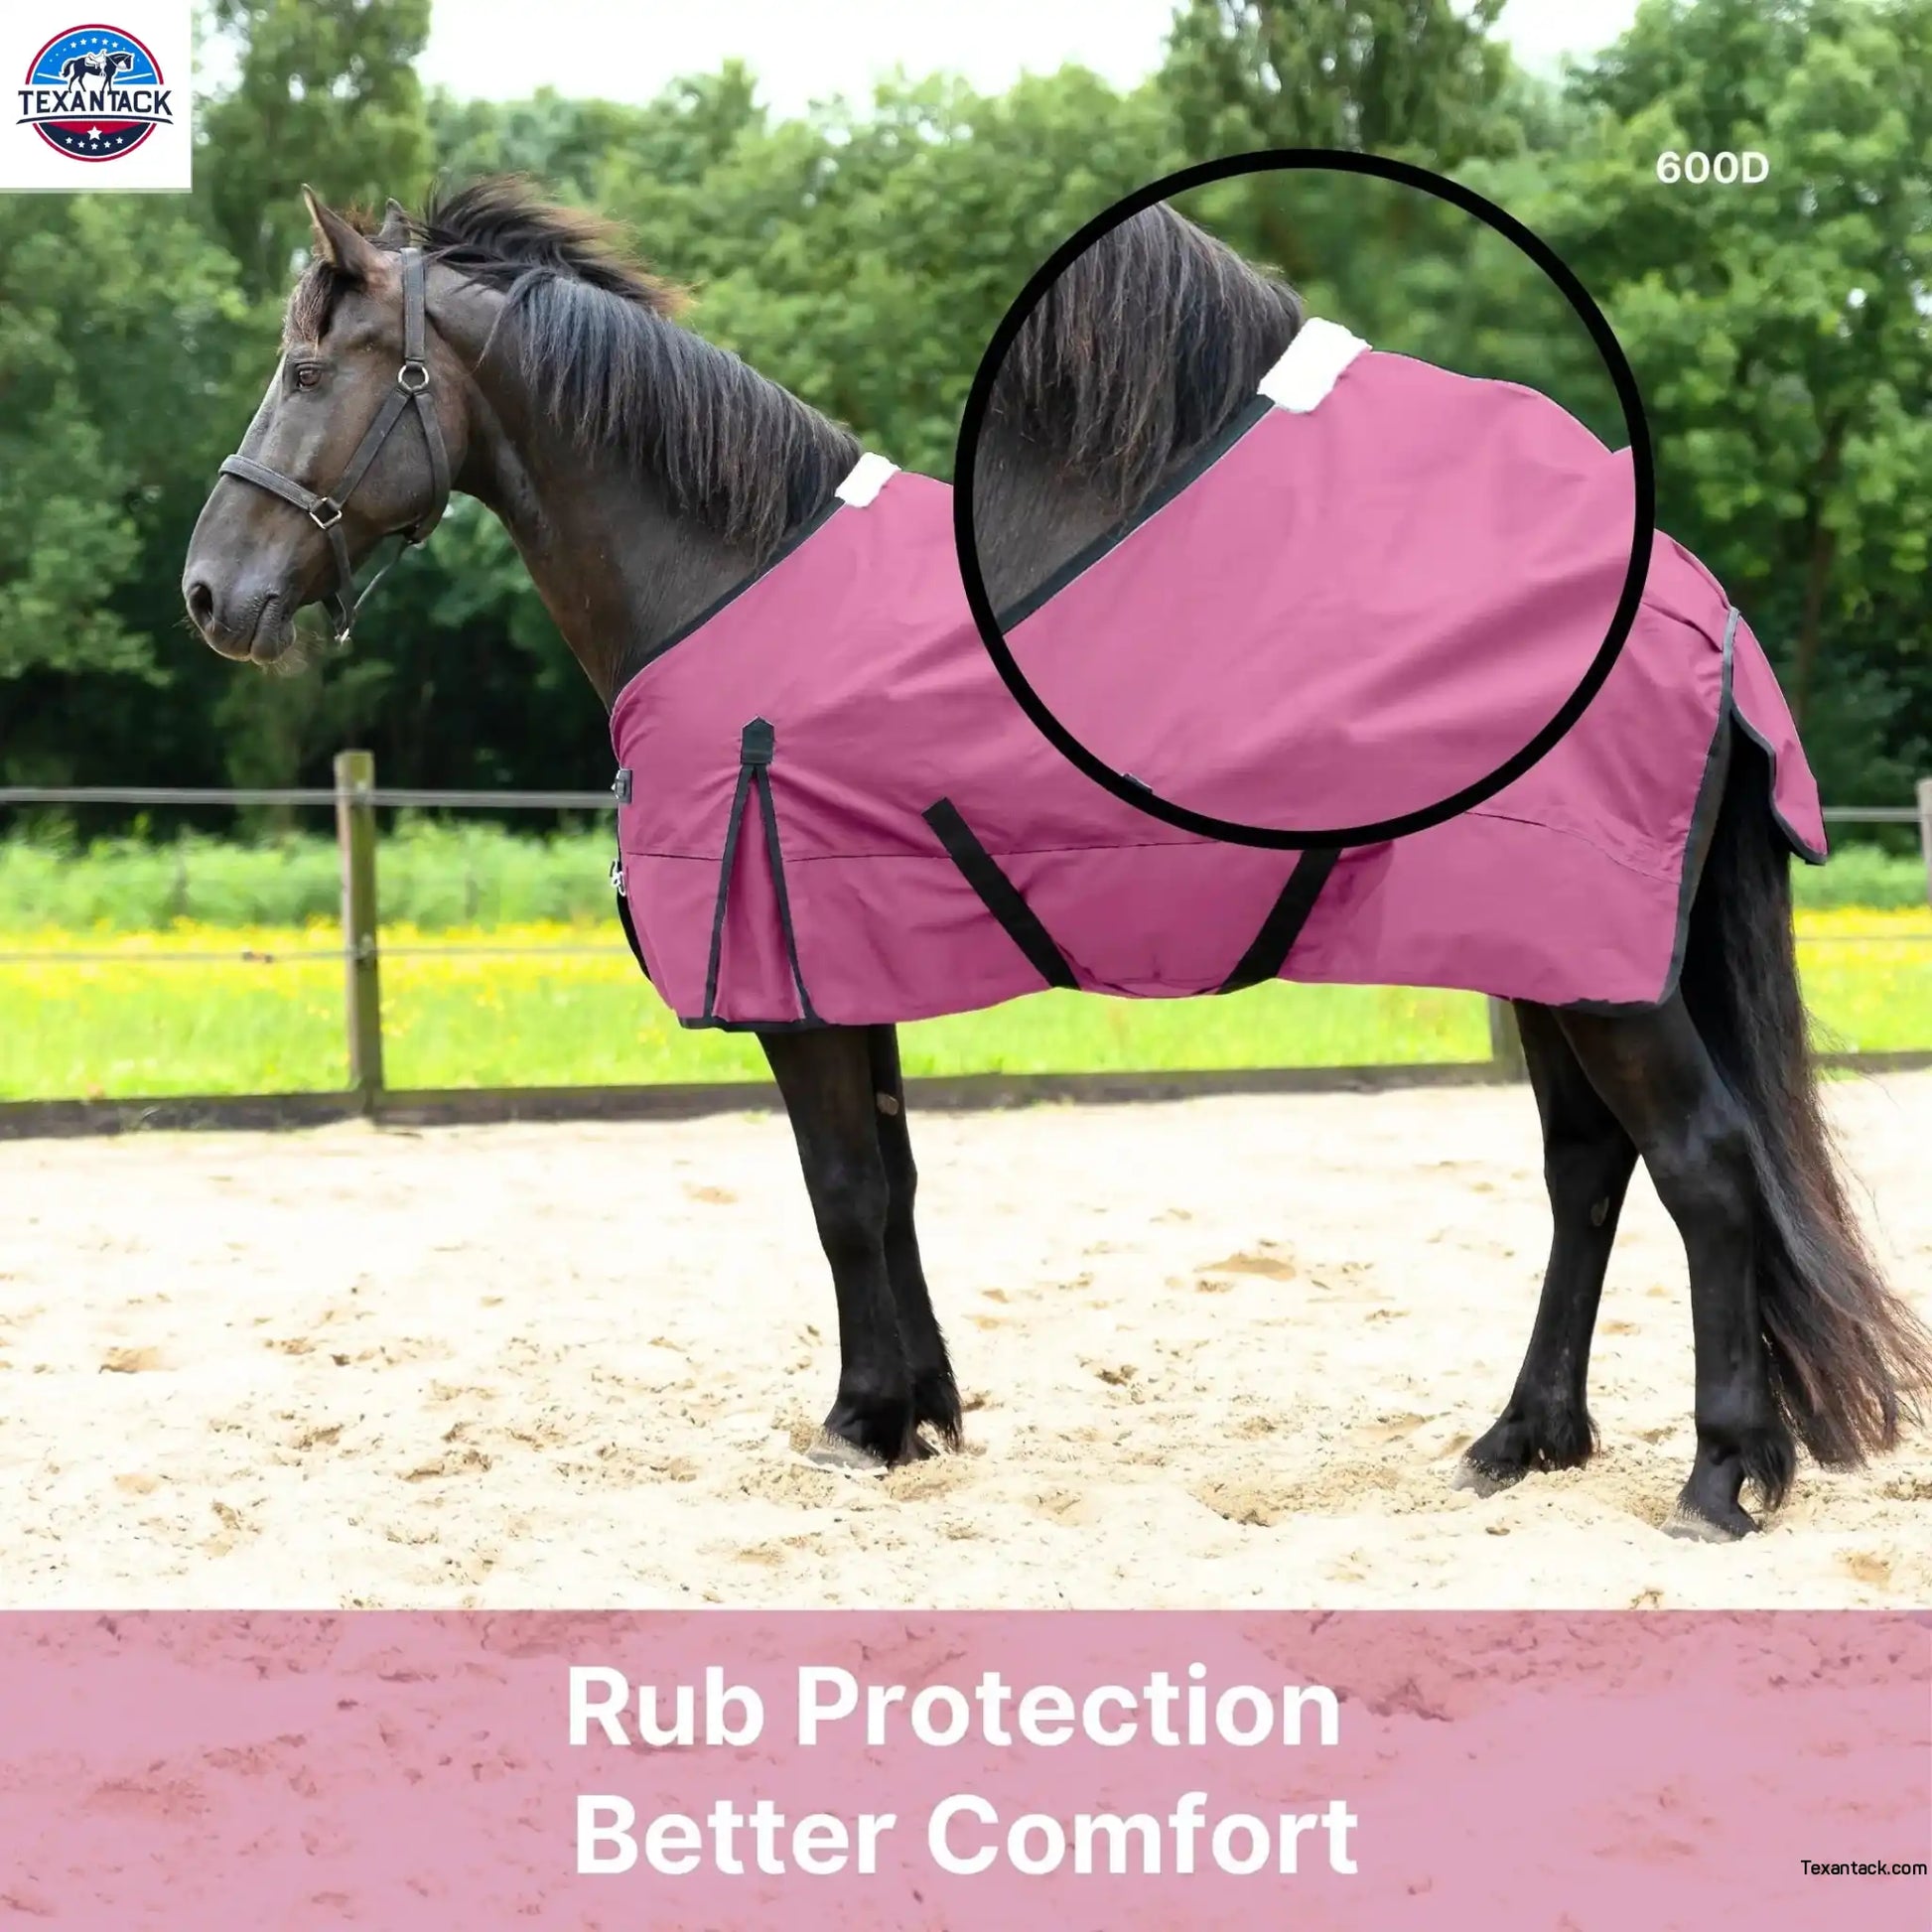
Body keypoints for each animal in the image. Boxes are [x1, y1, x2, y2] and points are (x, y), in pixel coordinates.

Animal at [181, 180, 1931, 1542]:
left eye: (303, 364)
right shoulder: (849, 963)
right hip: (1553, 959)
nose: (211, 591)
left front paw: (859, 1423)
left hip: (1599, 972)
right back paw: (1519, 1443)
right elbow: (887, 1184)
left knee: (1702, 1168)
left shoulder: (795, 984)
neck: (728, 575)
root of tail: (1695, 604)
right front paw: (920, 1411)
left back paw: (1719, 1478)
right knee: (1588, 1173)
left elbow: (837, 1193)